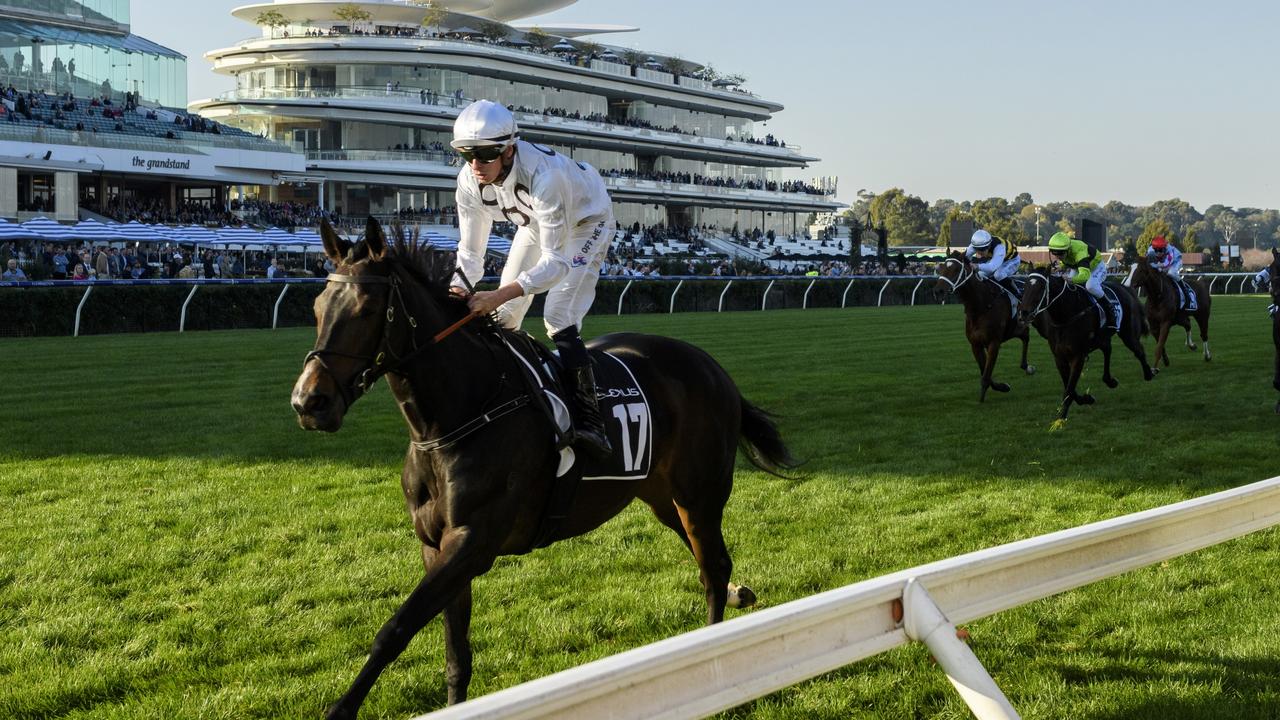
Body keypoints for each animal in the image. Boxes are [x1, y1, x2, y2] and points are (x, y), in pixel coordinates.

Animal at [290, 220, 793, 717]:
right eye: (316, 307)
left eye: (367, 308)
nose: (308, 402)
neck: (461, 412)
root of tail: (712, 366)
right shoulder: (436, 545)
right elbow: (456, 654)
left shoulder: (473, 542)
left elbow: (394, 629)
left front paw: (340, 710)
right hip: (661, 496)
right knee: (707, 562)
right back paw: (737, 597)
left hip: (699, 492)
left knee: (714, 566)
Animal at [936, 251, 1034, 397]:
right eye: (941, 267)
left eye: (956, 269)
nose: (938, 291)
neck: (981, 306)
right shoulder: (976, 344)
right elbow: (985, 372)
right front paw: (1002, 386)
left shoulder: (994, 342)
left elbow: (986, 374)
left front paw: (986, 394)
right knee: (1025, 336)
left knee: (1026, 336)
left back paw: (1026, 366)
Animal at [1013, 265, 1157, 420]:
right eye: (1025, 286)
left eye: (1040, 287)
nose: (1023, 314)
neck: (1065, 317)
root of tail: (1125, 288)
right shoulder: (1059, 357)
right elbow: (1069, 387)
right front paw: (1086, 399)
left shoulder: (1078, 356)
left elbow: (1070, 388)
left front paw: (1061, 417)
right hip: (1102, 337)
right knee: (1108, 349)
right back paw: (1110, 380)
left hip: (1128, 333)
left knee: (1139, 350)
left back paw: (1149, 373)